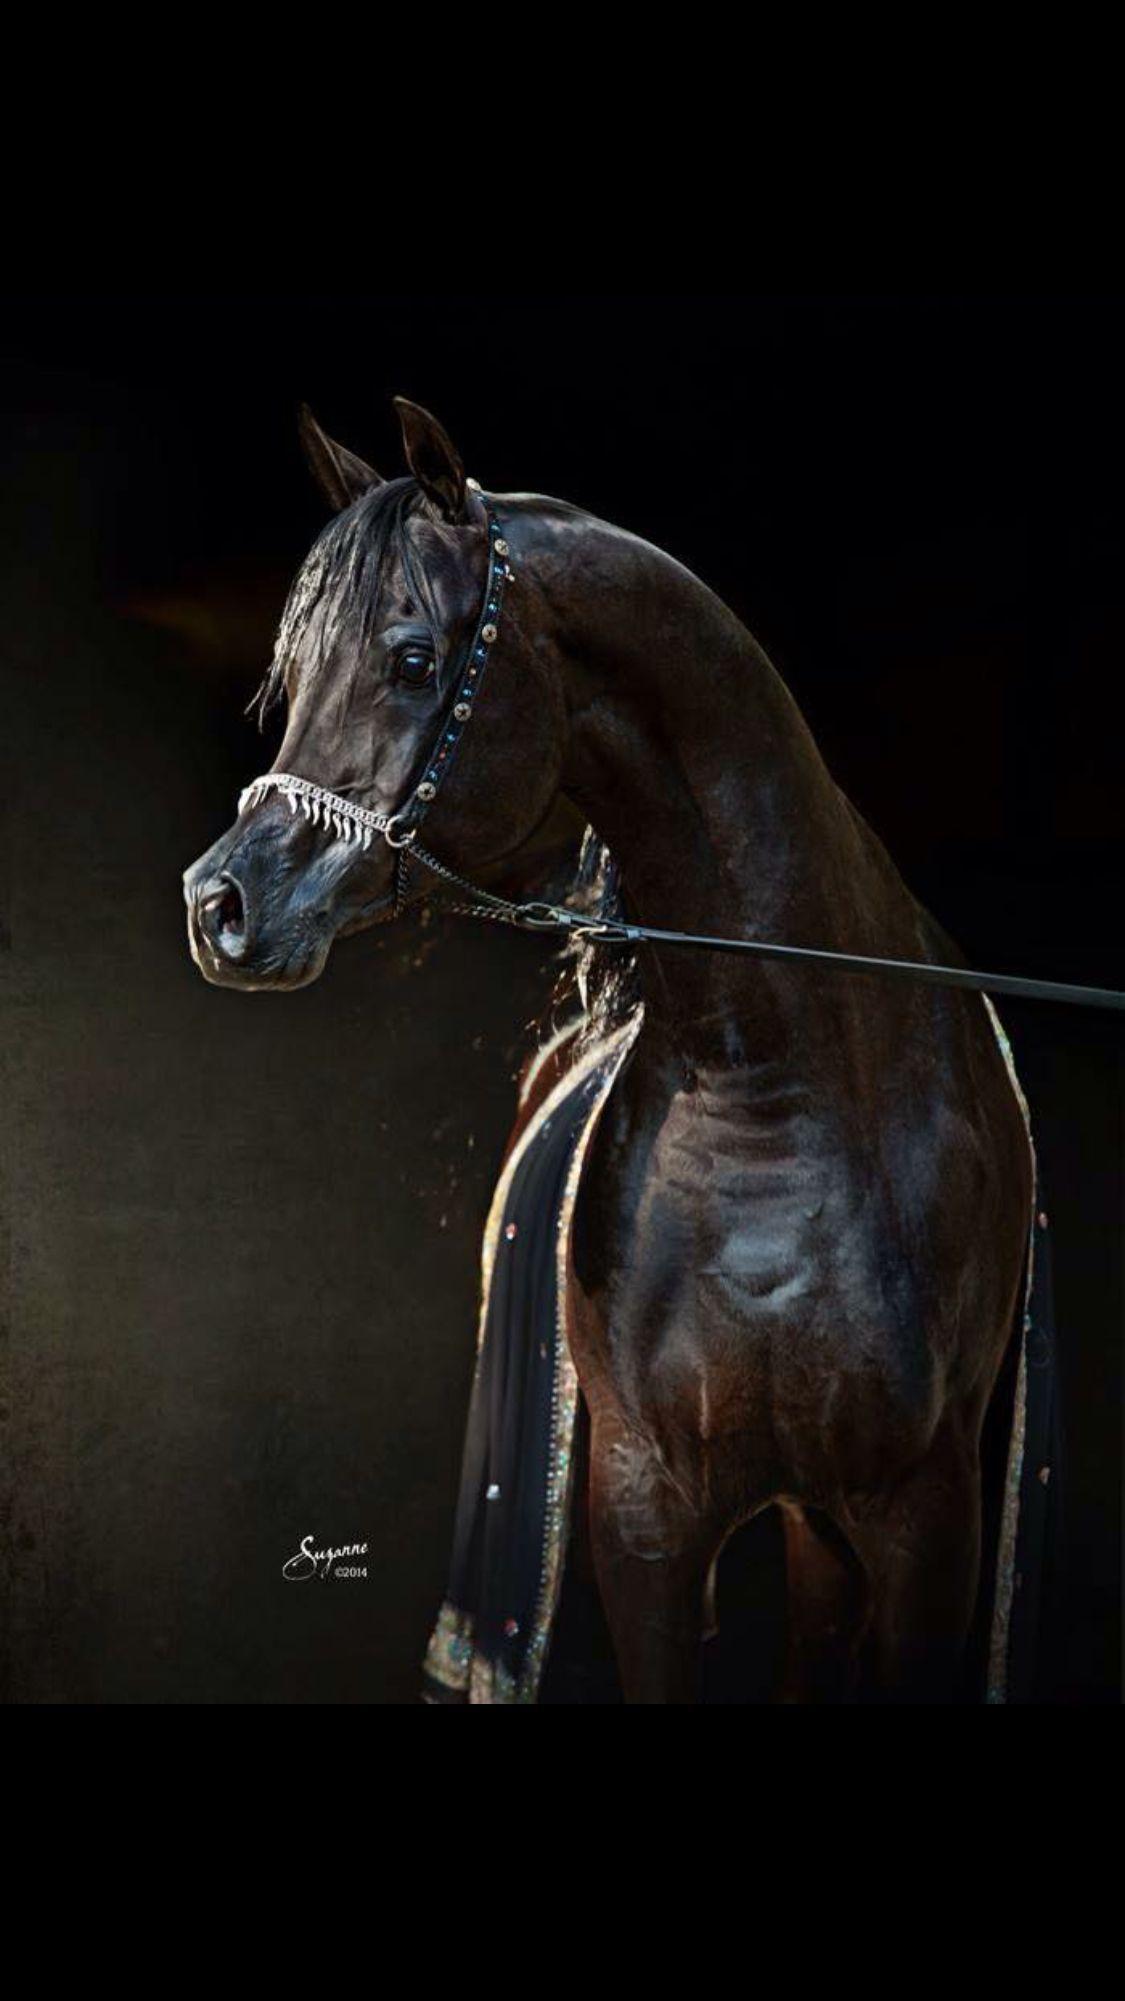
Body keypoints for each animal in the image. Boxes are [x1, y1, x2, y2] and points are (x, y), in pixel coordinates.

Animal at [183, 397, 1034, 1703]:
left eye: (412, 659)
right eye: (295, 673)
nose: (218, 903)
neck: (777, 1090)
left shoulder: (922, 1521)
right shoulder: (645, 1515)